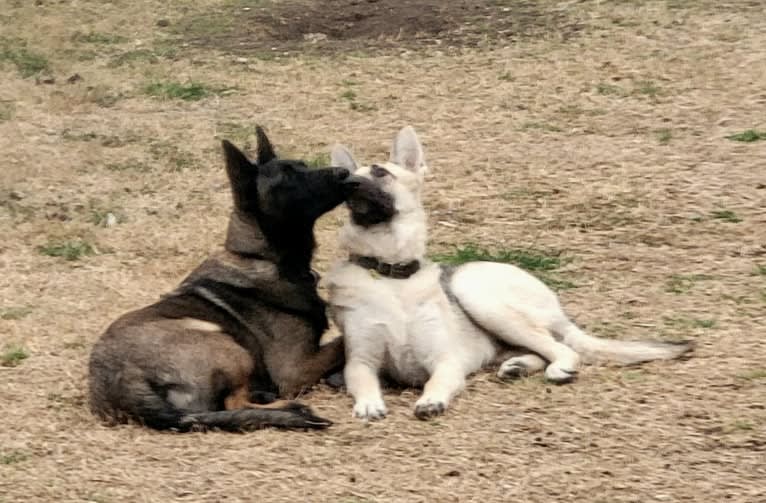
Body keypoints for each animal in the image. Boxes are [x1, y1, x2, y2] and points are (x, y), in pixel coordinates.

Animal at [88, 128, 360, 432]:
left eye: (303, 165)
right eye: (288, 177)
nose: (345, 173)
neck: (266, 258)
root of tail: (123, 381)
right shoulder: (295, 370)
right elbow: (342, 342)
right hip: (226, 344)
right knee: (234, 404)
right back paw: (290, 408)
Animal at [324, 127, 696, 422]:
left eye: (380, 172)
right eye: (348, 177)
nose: (350, 183)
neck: (390, 275)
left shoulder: (445, 361)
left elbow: (437, 380)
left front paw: (431, 399)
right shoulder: (361, 361)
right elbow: (363, 382)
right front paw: (369, 403)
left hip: (476, 293)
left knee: (560, 347)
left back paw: (557, 369)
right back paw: (519, 366)